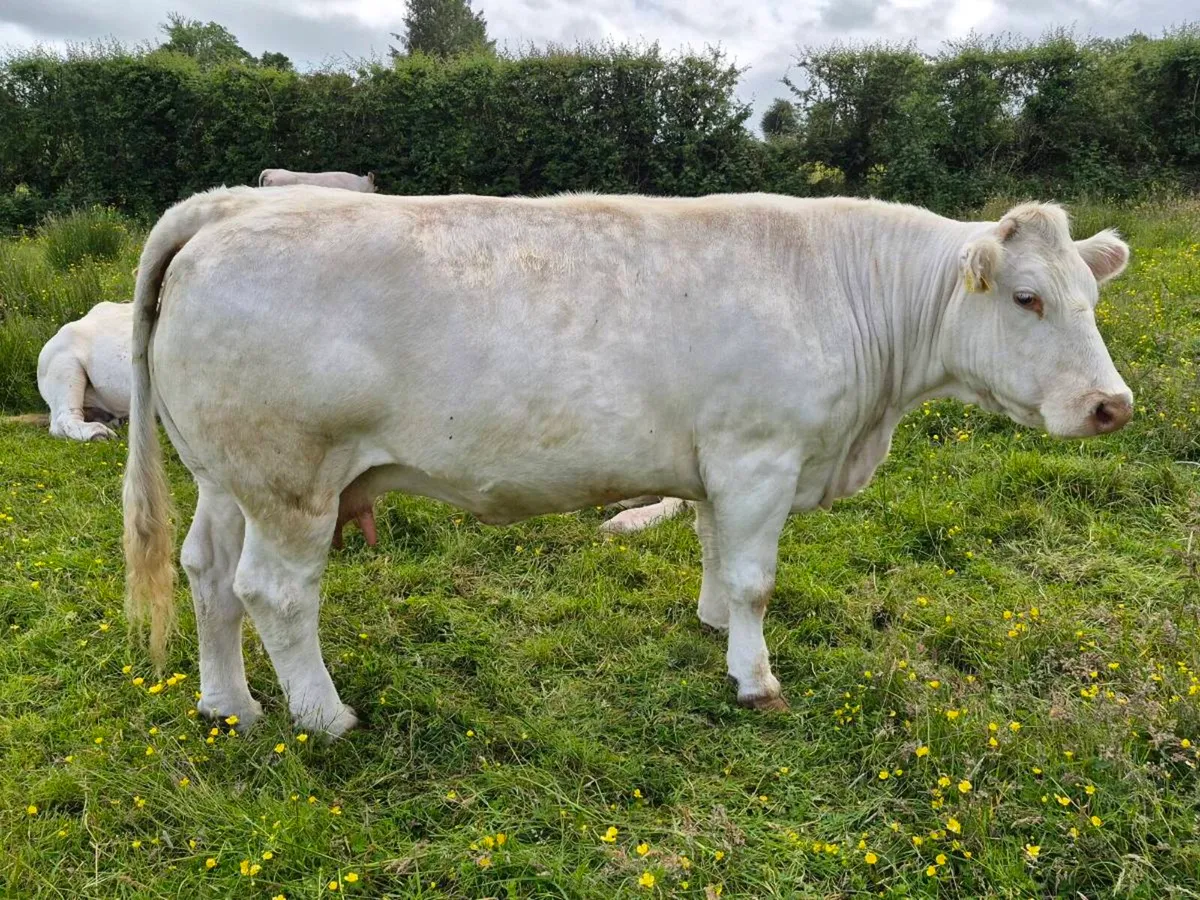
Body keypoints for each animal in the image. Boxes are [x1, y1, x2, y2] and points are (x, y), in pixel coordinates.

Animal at [122, 186, 1133, 737]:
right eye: (1029, 298)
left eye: (1090, 298)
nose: (1111, 406)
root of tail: (232, 203)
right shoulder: (761, 453)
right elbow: (757, 577)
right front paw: (755, 679)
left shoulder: (718, 458)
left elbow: (716, 550)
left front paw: (711, 623)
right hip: (292, 481)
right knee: (275, 594)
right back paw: (324, 715)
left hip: (227, 477)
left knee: (206, 575)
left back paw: (230, 705)